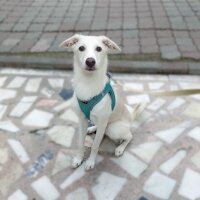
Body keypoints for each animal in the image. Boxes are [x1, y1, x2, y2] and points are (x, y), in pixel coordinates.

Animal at [59, 34, 145, 170]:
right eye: (81, 48)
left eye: (99, 48)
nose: (90, 61)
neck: (87, 84)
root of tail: (131, 116)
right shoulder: (81, 120)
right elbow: (80, 143)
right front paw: (78, 159)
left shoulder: (103, 121)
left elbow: (95, 146)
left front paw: (90, 162)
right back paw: (92, 129)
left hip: (113, 128)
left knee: (129, 136)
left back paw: (120, 148)